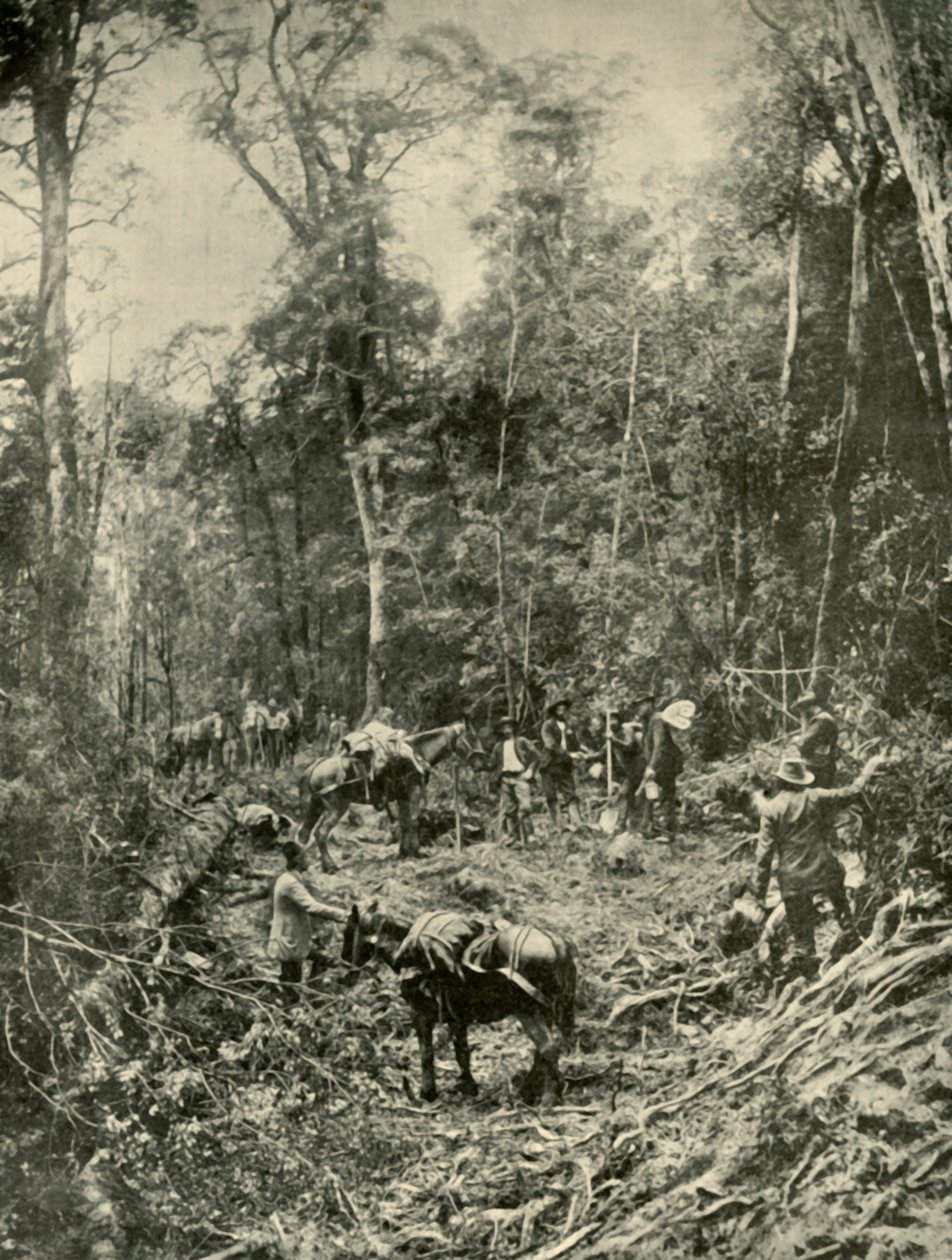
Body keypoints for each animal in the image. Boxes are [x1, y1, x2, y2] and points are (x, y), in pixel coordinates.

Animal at [299, 725, 483, 871]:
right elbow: (413, 821)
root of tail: (317, 765)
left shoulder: (402, 797)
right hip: (337, 807)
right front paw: (416, 851)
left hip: (317, 807)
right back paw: (331, 866)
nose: (480, 763)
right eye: (471, 737)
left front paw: (404, 851)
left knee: (308, 832)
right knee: (321, 833)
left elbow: (404, 822)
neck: (418, 753)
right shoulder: (413, 793)